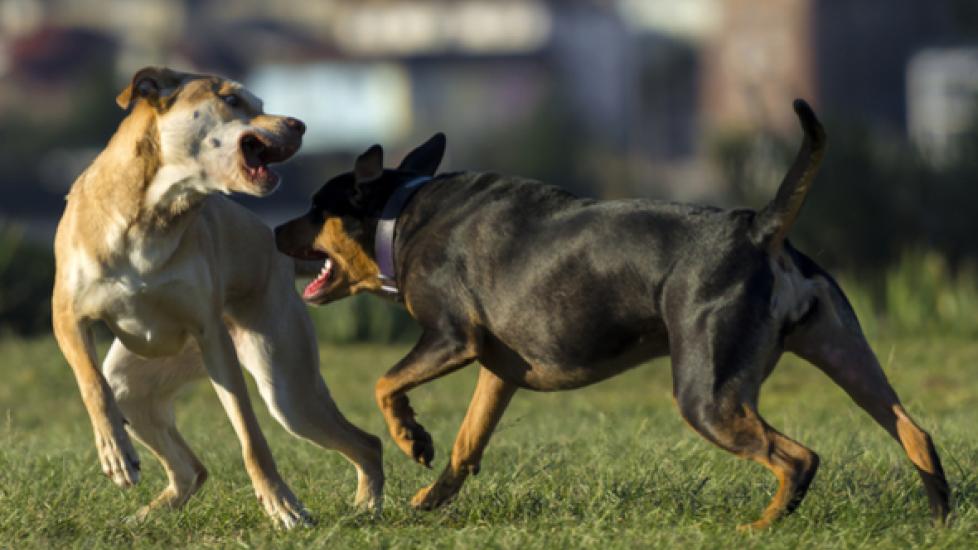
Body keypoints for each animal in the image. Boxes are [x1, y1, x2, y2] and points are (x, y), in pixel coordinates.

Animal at [51, 67, 384, 528]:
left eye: (260, 104)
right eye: (231, 100)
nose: (299, 124)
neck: (154, 213)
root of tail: (277, 249)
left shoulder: (212, 336)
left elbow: (250, 435)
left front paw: (282, 505)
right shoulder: (67, 315)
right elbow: (91, 384)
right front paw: (116, 454)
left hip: (286, 386)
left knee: (367, 443)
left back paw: (367, 506)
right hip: (134, 384)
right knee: (187, 465)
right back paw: (143, 517)